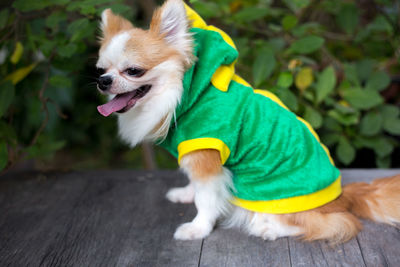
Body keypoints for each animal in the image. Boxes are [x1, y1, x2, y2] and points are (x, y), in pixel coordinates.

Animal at [94, 0, 400, 244]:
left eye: (134, 71)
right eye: (100, 69)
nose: (103, 81)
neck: (182, 95)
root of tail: (343, 196)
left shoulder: (206, 157)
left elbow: (206, 200)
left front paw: (197, 229)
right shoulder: (194, 155)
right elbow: (196, 185)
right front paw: (186, 194)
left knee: (334, 224)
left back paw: (268, 228)